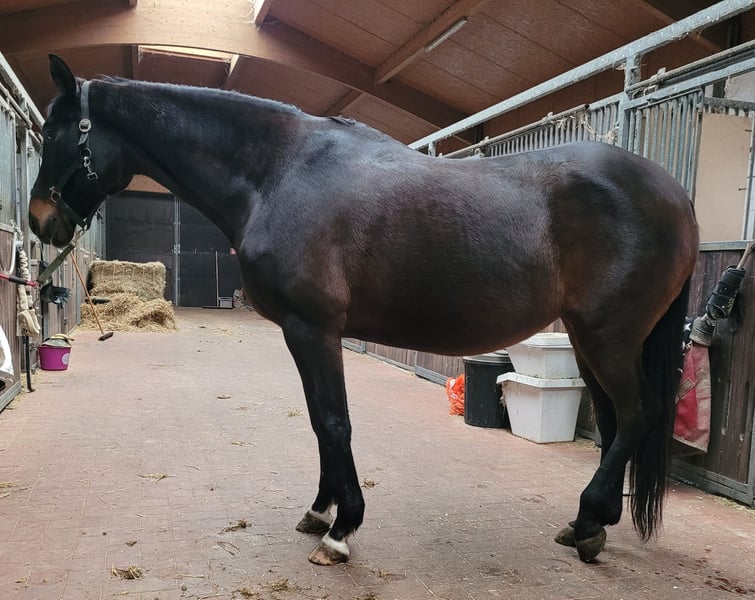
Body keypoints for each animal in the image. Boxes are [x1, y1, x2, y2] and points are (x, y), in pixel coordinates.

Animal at [29, 55, 698, 565]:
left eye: (54, 135)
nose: (40, 221)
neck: (279, 172)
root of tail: (673, 194)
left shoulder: (314, 328)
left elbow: (334, 421)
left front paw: (342, 529)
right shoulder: (304, 333)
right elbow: (318, 420)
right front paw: (319, 509)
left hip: (609, 336)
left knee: (636, 413)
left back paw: (589, 520)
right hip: (592, 340)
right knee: (615, 420)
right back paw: (590, 527)